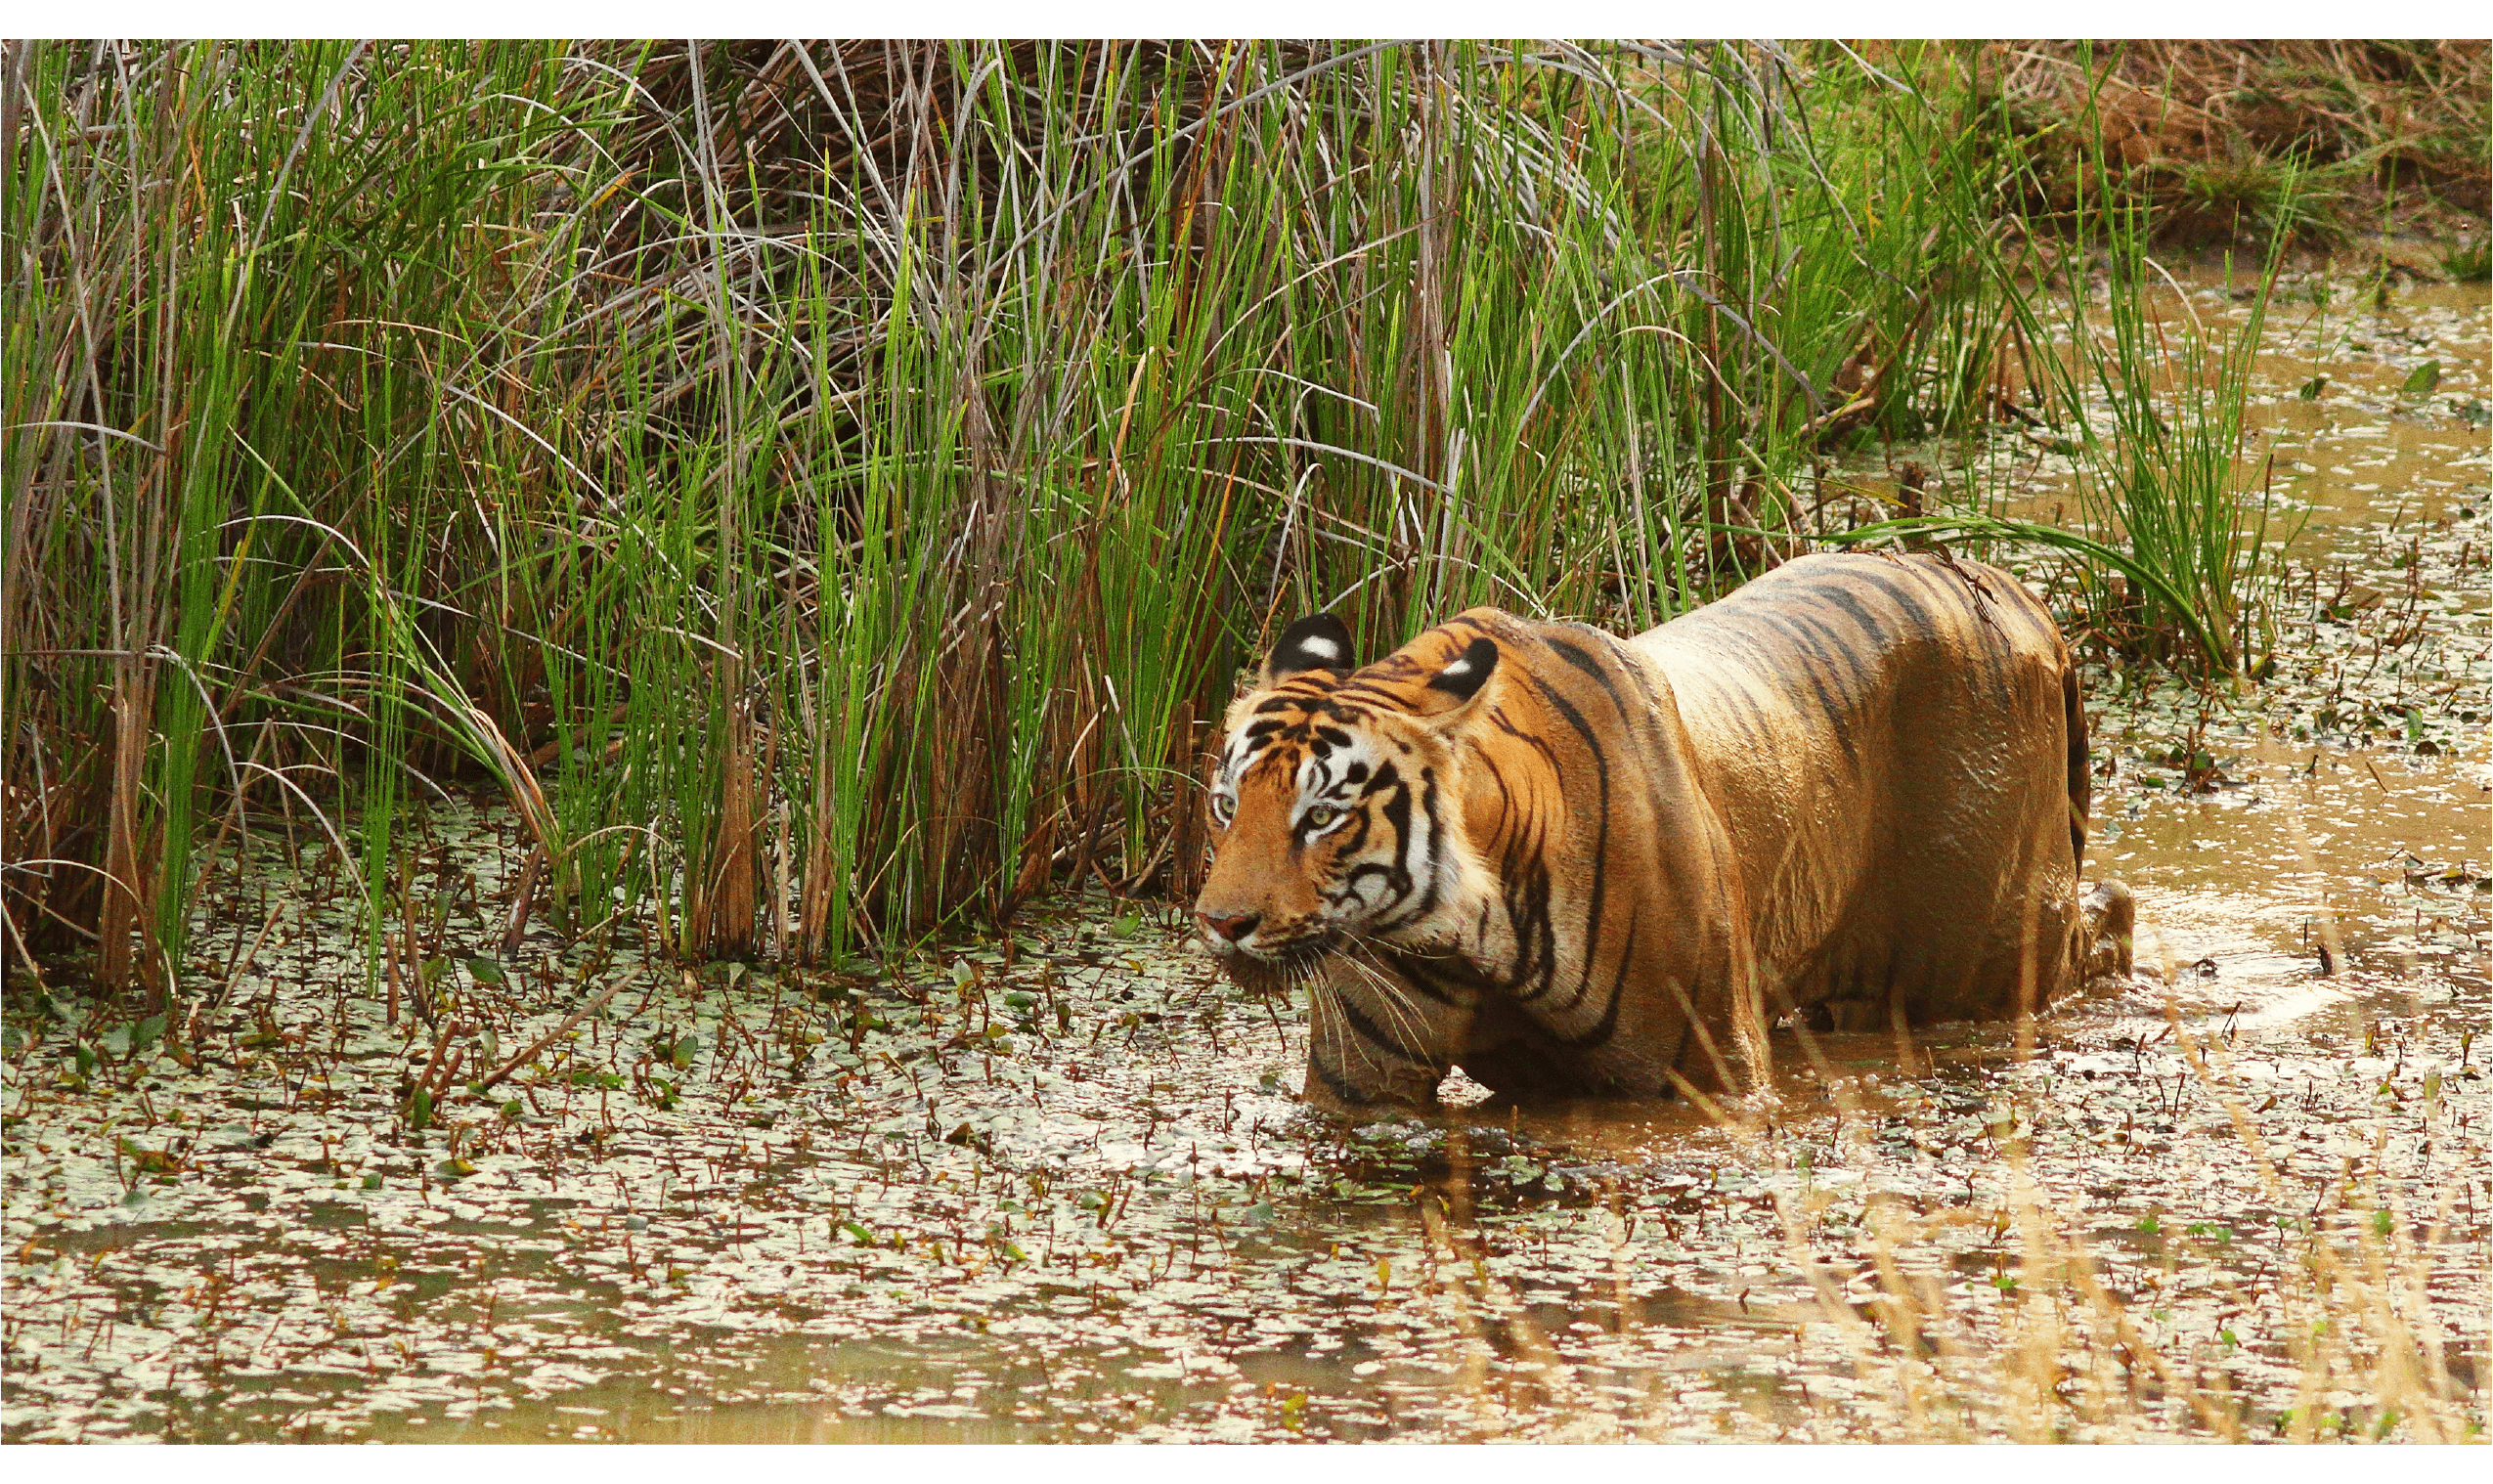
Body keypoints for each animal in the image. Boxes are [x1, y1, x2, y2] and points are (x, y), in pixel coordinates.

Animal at [1194, 550, 2135, 1113]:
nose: (1221, 923)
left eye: (1322, 816)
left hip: (1982, 958)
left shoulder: (1712, 1074)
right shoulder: (1363, 1090)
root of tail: (2016, 592)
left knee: (2114, 913)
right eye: (1227, 806)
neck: (1469, 934)